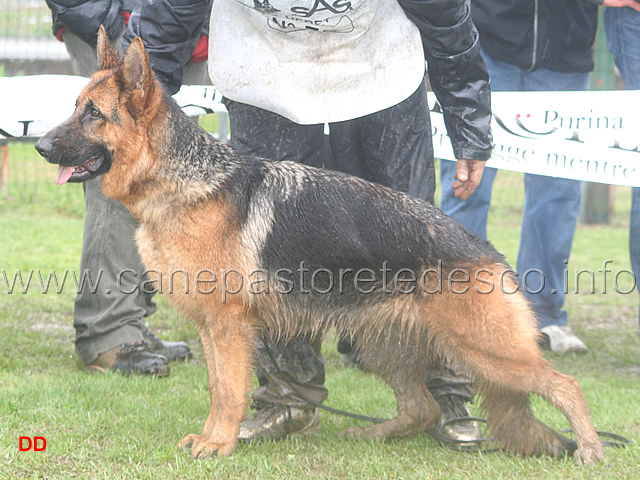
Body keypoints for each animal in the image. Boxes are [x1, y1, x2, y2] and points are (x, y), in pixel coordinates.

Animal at [35, 28, 604, 464]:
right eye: (75, 108)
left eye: (93, 114)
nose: (39, 145)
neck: (186, 182)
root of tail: (489, 252)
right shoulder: (215, 330)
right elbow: (220, 389)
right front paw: (217, 439)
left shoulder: (228, 328)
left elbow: (228, 392)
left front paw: (219, 446)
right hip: (383, 344)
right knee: (420, 407)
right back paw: (375, 433)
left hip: (483, 349)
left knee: (565, 385)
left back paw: (591, 449)